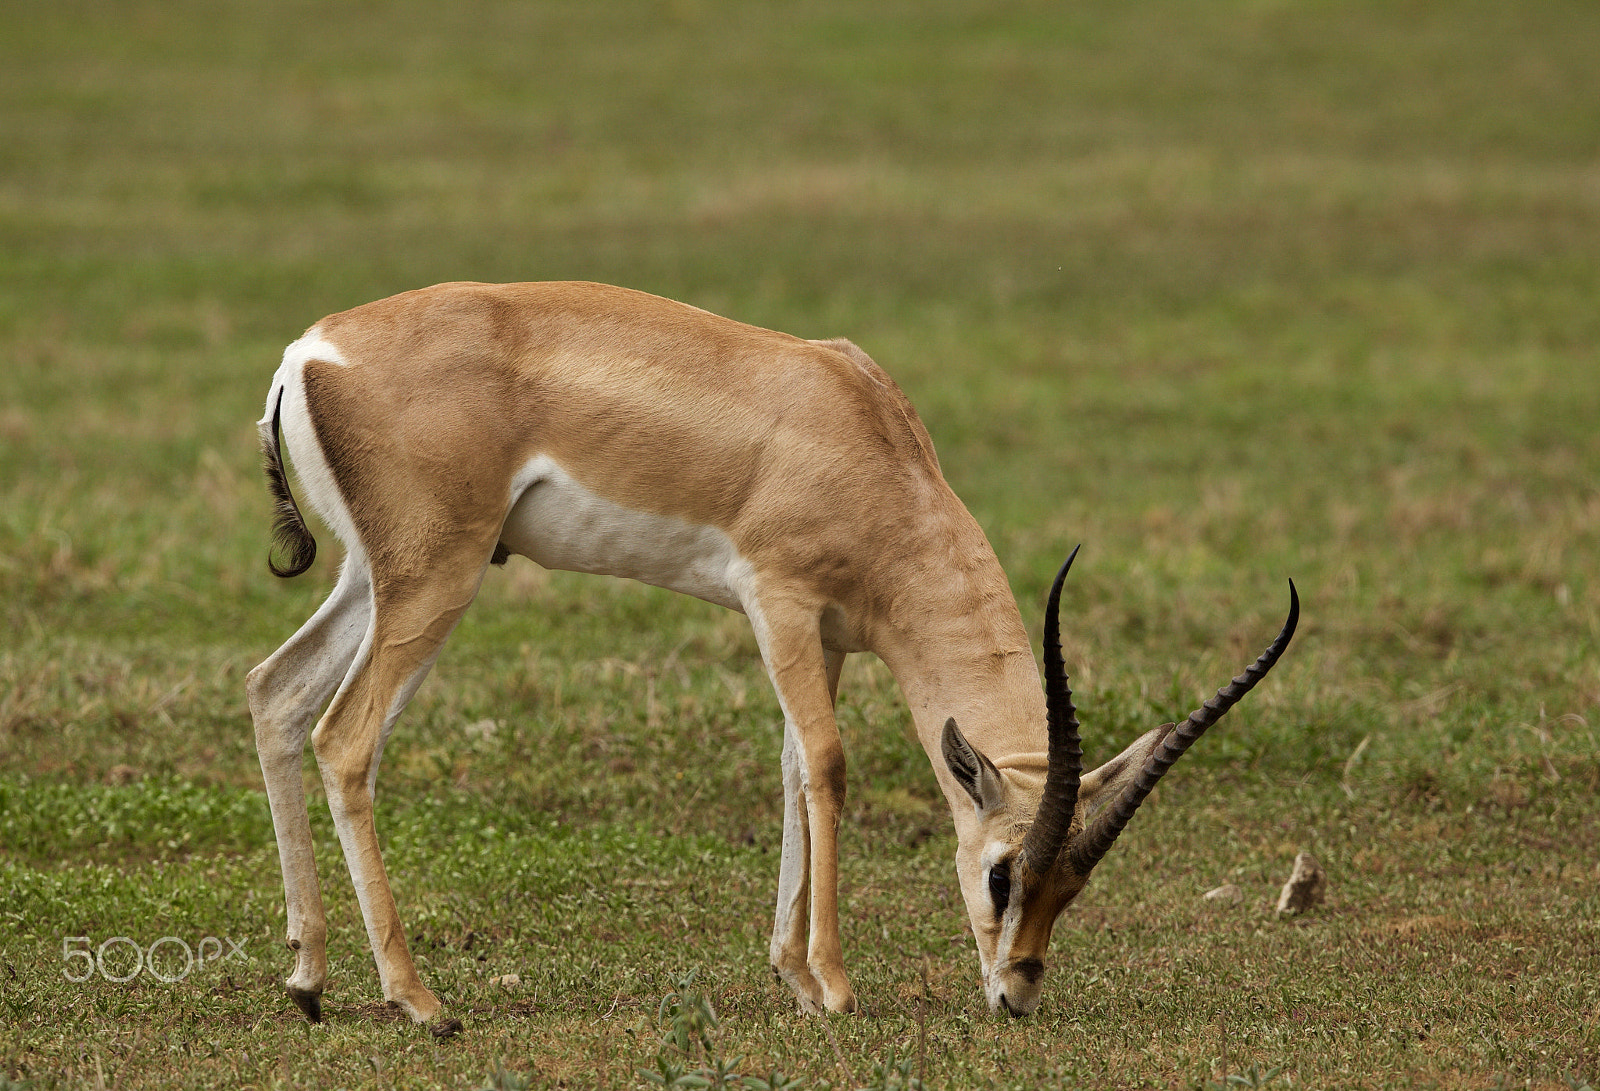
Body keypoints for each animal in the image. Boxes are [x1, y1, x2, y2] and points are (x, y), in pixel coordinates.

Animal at [247, 280, 1297, 1027]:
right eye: (1004, 872)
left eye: (1074, 884)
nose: (1019, 991)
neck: (867, 440)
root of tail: (309, 349)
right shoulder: (779, 602)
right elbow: (827, 764)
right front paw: (834, 984)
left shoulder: (824, 636)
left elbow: (794, 765)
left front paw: (793, 975)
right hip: (438, 578)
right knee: (345, 737)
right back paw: (421, 1001)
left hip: (373, 579)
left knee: (276, 693)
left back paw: (308, 980)